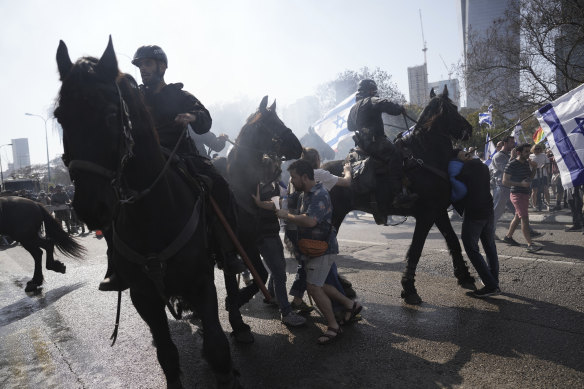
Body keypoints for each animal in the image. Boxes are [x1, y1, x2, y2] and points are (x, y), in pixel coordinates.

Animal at [56, 37, 242, 388]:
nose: (90, 206)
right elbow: (167, 356)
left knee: (233, 280)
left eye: (111, 113)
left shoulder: (201, 281)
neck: (153, 215)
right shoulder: (143, 296)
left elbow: (218, 349)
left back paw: (240, 324)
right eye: (61, 116)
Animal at [324, 86, 474, 304]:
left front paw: (464, 276)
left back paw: (342, 286)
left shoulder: (438, 212)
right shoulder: (426, 215)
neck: (426, 157)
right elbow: (416, 249)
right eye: (453, 108)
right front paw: (409, 288)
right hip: (334, 216)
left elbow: (453, 240)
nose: (468, 129)